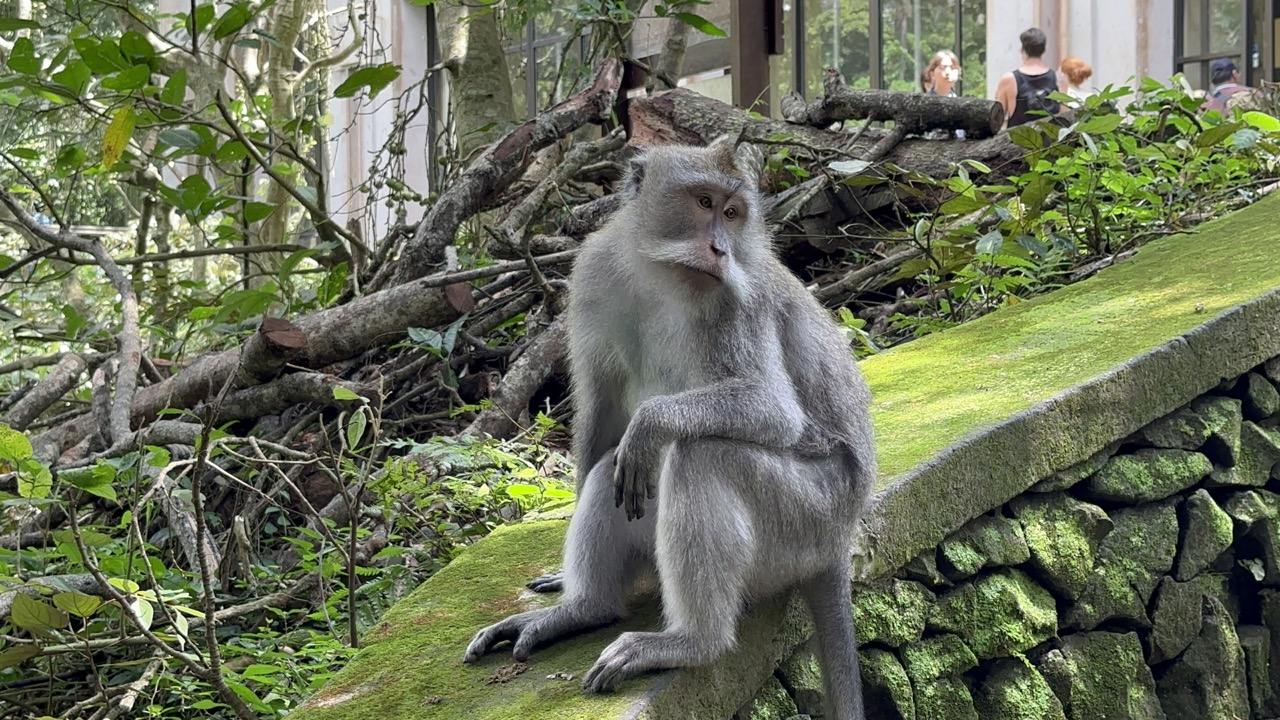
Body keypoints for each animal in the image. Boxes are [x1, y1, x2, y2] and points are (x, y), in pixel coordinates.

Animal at [458, 134, 870, 717]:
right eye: (704, 203)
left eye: (733, 213)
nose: (720, 249)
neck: (663, 276)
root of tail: (840, 545)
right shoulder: (594, 274)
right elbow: (603, 415)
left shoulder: (736, 300)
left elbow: (772, 408)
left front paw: (653, 422)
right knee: (619, 467)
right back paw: (586, 608)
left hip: (810, 522)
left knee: (702, 455)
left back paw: (693, 641)